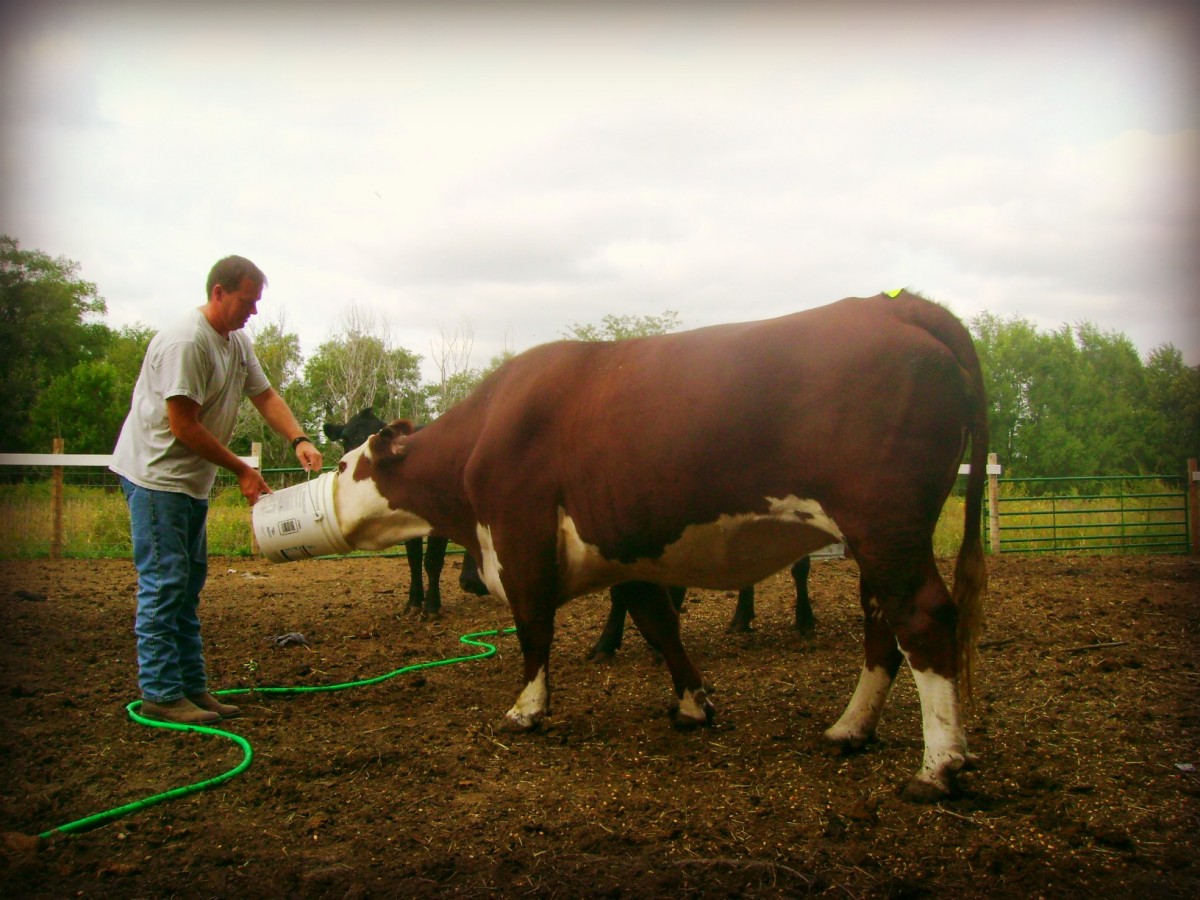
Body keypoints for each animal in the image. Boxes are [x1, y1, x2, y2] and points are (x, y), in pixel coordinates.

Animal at [316, 297, 984, 801]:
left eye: (346, 463)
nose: (328, 480)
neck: (481, 436)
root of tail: (891, 304)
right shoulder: (624, 552)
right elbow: (659, 623)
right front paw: (692, 705)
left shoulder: (519, 537)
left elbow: (534, 628)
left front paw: (527, 709)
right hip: (881, 542)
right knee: (882, 625)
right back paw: (850, 729)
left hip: (885, 528)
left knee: (922, 619)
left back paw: (938, 766)